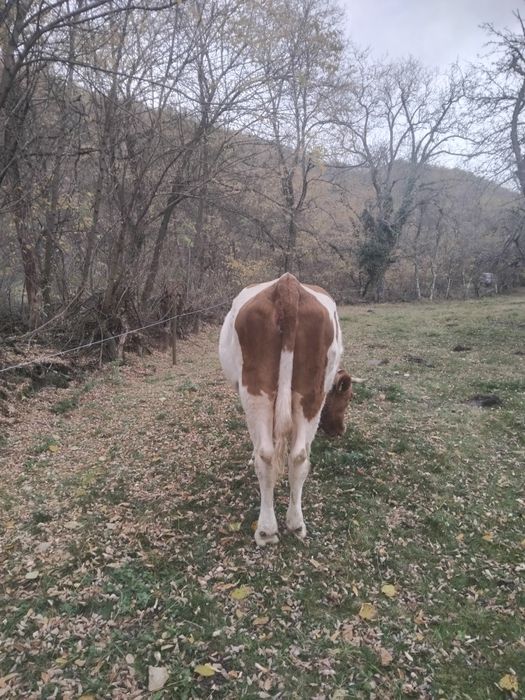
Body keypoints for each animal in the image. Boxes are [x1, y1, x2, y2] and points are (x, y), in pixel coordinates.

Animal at [219, 273, 352, 546]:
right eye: (346, 399)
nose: (340, 430)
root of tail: (287, 284)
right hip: (311, 392)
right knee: (298, 456)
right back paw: (295, 524)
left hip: (255, 389)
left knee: (266, 455)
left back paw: (266, 530)